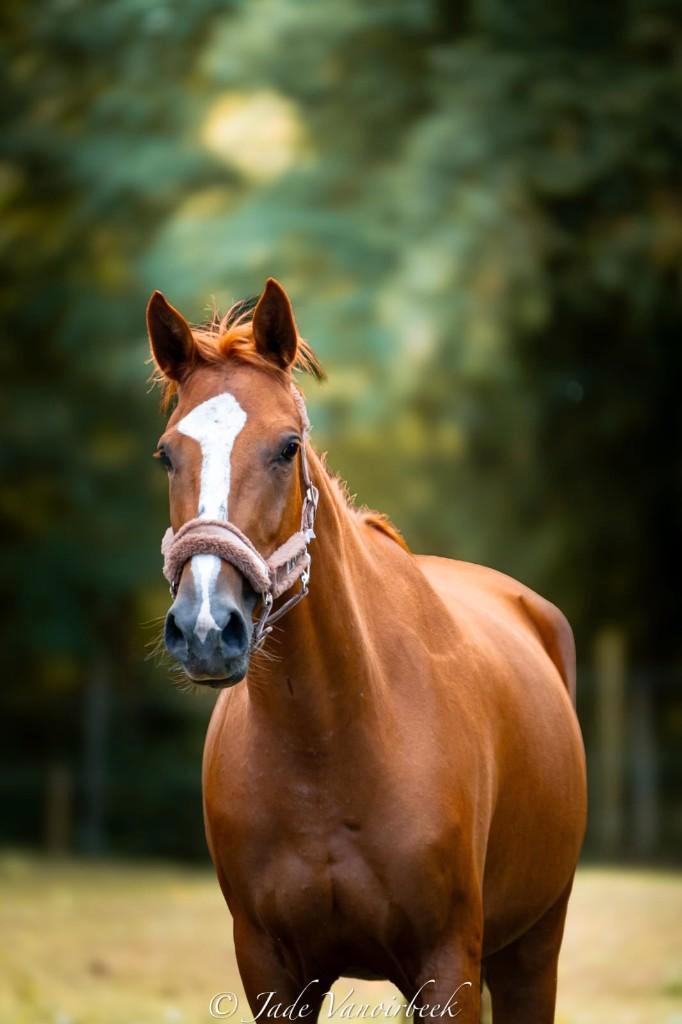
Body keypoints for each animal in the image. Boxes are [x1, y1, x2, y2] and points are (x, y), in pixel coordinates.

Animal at [146, 278, 587, 1024]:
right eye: (166, 454)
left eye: (287, 446)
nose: (206, 627)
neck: (328, 743)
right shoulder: (270, 967)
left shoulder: (449, 965)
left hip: (533, 950)